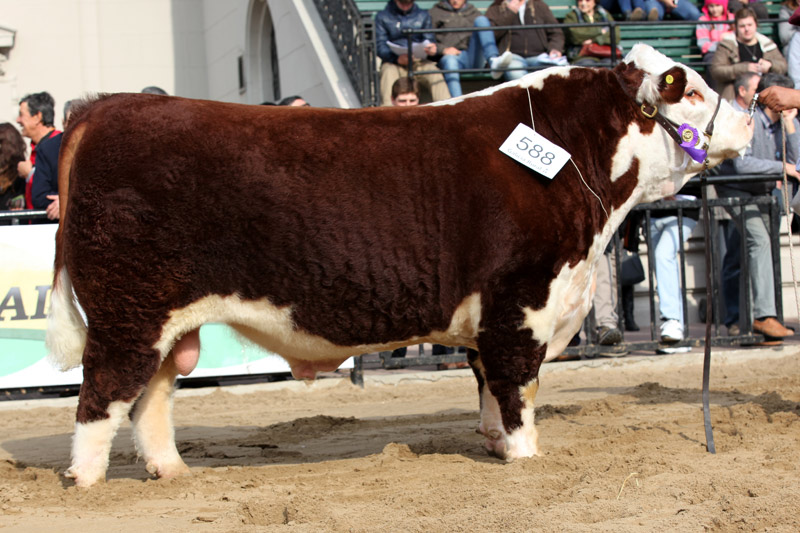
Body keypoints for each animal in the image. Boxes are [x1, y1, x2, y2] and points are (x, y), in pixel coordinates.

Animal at [47, 44, 752, 486]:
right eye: (691, 90)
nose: (749, 119)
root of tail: (102, 108)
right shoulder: (521, 299)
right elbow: (519, 387)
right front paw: (527, 456)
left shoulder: (492, 315)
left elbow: (488, 384)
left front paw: (495, 445)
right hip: (128, 310)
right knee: (102, 393)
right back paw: (85, 479)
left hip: (165, 320)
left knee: (151, 396)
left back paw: (170, 470)